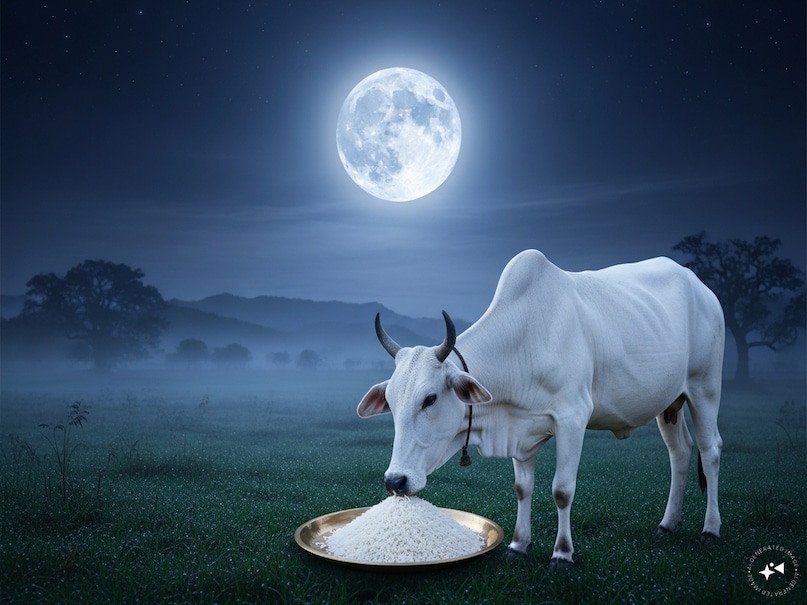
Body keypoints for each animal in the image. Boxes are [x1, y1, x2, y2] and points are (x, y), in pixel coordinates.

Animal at [357, 249, 724, 565]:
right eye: (391, 402)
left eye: (430, 398)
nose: (395, 481)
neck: (525, 340)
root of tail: (701, 286)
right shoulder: (519, 430)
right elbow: (523, 488)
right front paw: (518, 545)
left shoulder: (572, 419)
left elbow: (562, 490)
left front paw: (562, 553)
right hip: (669, 403)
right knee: (680, 452)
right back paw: (667, 524)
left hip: (705, 388)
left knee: (710, 451)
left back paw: (710, 529)